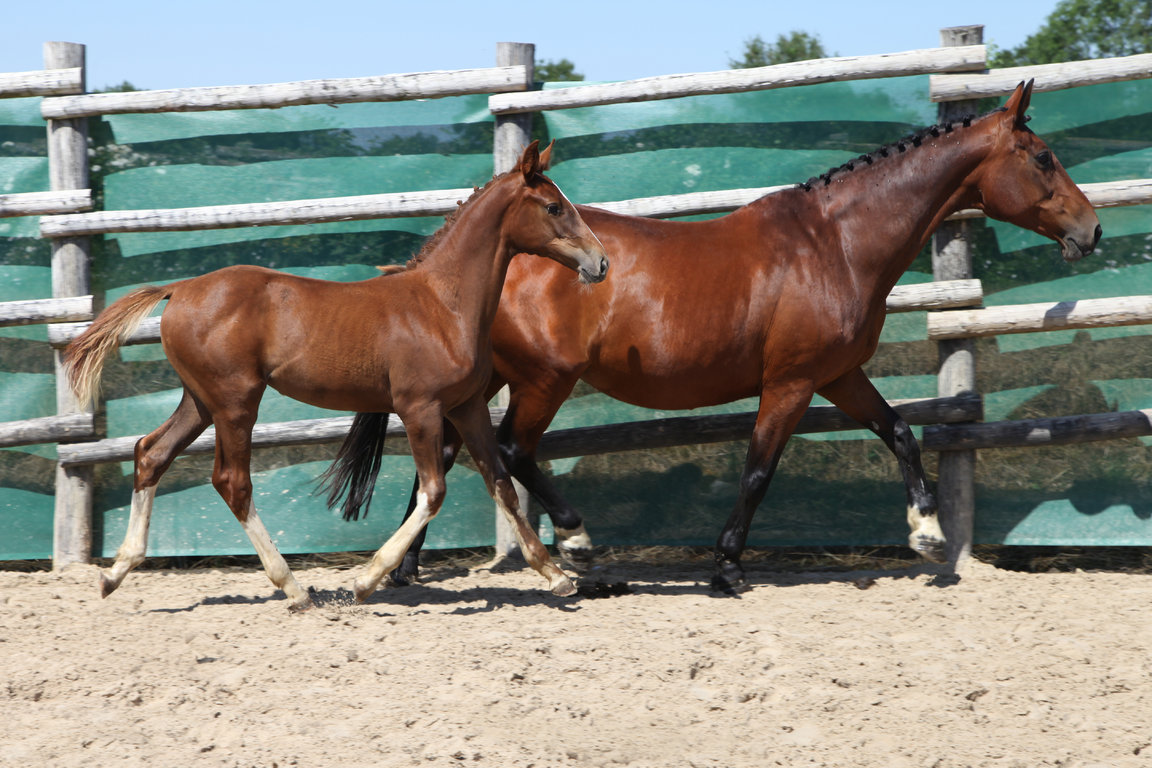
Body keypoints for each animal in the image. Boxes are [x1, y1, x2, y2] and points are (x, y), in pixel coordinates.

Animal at [61, 141, 608, 607]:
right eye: (553, 207)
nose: (600, 262)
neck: (443, 304)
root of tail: (180, 288)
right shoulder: (419, 408)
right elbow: (433, 492)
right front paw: (366, 580)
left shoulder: (466, 406)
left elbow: (501, 484)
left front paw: (556, 576)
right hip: (236, 402)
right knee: (232, 482)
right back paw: (294, 588)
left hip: (199, 400)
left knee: (151, 454)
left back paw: (115, 573)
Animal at [331, 78, 1096, 594]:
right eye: (1042, 157)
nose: (1089, 231)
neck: (836, 245)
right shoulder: (791, 382)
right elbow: (758, 469)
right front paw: (726, 567)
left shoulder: (839, 374)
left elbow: (902, 432)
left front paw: (930, 536)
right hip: (545, 380)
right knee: (513, 450)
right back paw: (576, 544)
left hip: (484, 376)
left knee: (453, 453)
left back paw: (406, 570)